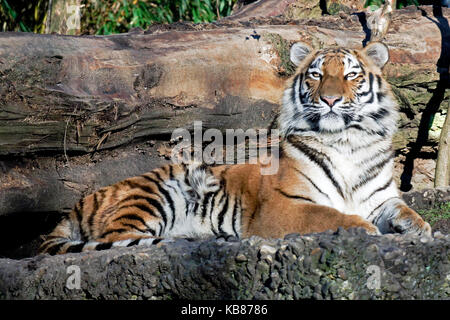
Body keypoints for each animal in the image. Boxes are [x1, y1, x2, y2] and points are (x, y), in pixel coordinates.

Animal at [40, 41, 430, 255]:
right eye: (317, 75)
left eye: (351, 75)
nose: (331, 100)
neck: (347, 142)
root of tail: (76, 205)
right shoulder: (284, 207)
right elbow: (328, 214)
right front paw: (361, 228)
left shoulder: (380, 198)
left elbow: (404, 210)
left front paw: (418, 228)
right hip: (150, 196)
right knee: (119, 240)